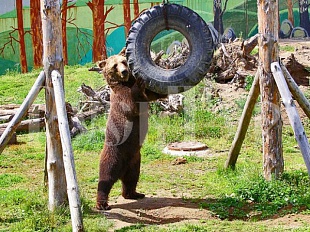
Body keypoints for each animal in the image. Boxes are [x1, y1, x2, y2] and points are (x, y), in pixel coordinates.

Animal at [95, 49, 166, 210]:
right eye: (114, 65)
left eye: (124, 61)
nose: (125, 71)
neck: (126, 82)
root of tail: (122, 169)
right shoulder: (121, 96)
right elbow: (133, 104)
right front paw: (140, 82)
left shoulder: (144, 92)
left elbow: (154, 94)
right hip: (113, 154)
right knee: (105, 178)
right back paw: (102, 203)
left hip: (135, 160)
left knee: (132, 178)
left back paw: (135, 193)